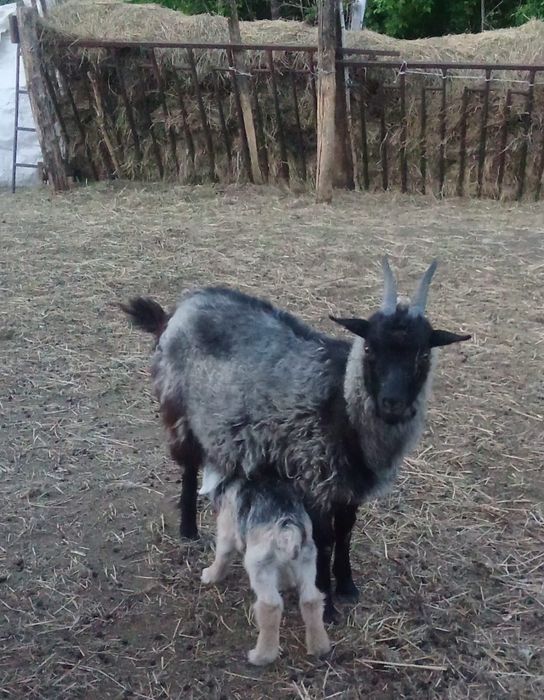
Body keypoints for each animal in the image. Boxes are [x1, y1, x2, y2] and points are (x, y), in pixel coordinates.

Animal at [120, 258, 470, 620]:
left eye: (423, 355)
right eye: (369, 347)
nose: (392, 403)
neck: (342, 402)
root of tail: (175, 311)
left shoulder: (349, 487)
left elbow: (346, 531)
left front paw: (347, 587)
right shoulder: (314, 476)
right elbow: (325, 540)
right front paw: (326, 604)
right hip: (178, 409)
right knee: (189, 467)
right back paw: (188, 532)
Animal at [199, 468, 330, 665]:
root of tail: (287, 528)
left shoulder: (227, 526)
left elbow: (222, 554)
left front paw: (210, 575)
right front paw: (285, 583)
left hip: (259, 568)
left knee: (270, 607)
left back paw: (261, 656)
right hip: (306, 563)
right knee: (311, 600)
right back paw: (319, 647)